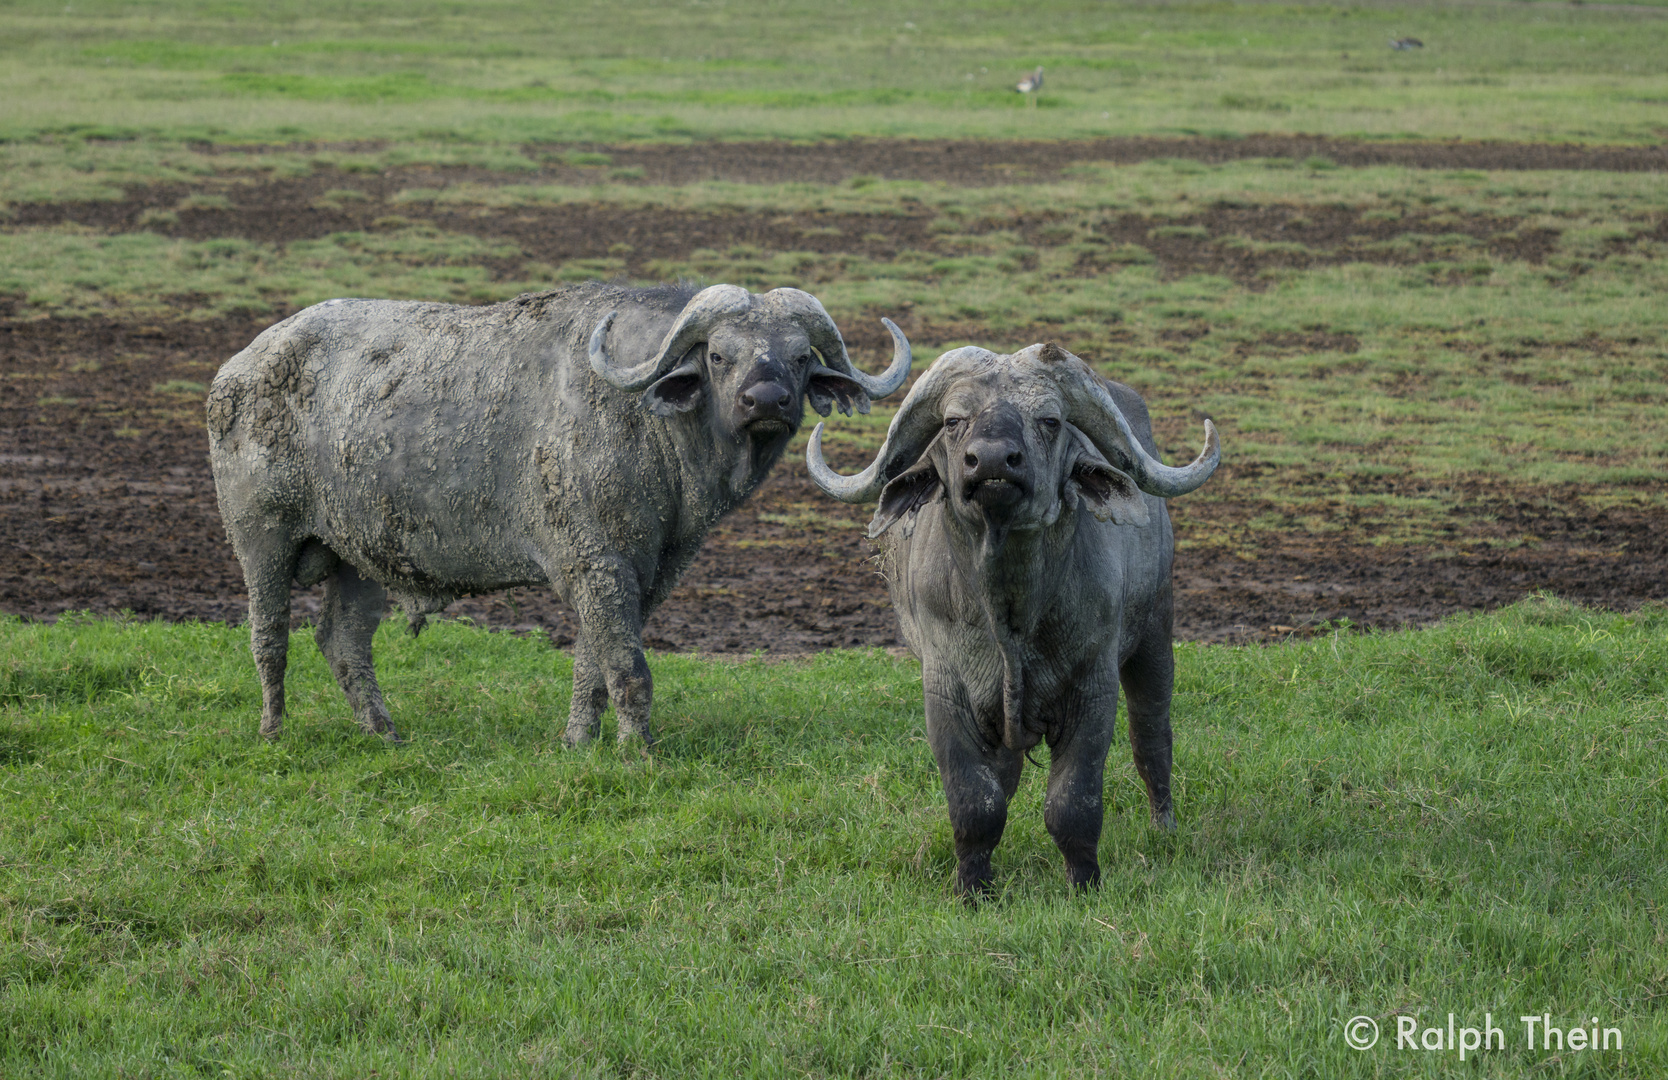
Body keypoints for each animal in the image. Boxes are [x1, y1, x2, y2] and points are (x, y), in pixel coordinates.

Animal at [211, 283, 914, 747]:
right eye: (719, 355)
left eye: (798, 357)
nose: (766, 400)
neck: (646, 424)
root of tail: (243, 363)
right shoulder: (597, 562)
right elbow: (628, 667)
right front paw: (638, 751)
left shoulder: (643, 573)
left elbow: (593, 661)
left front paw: (581, 741)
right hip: (261, 539)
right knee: (269, 636)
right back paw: (273, 729)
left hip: (361, 555)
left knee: (343, 641)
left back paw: (384, 732)